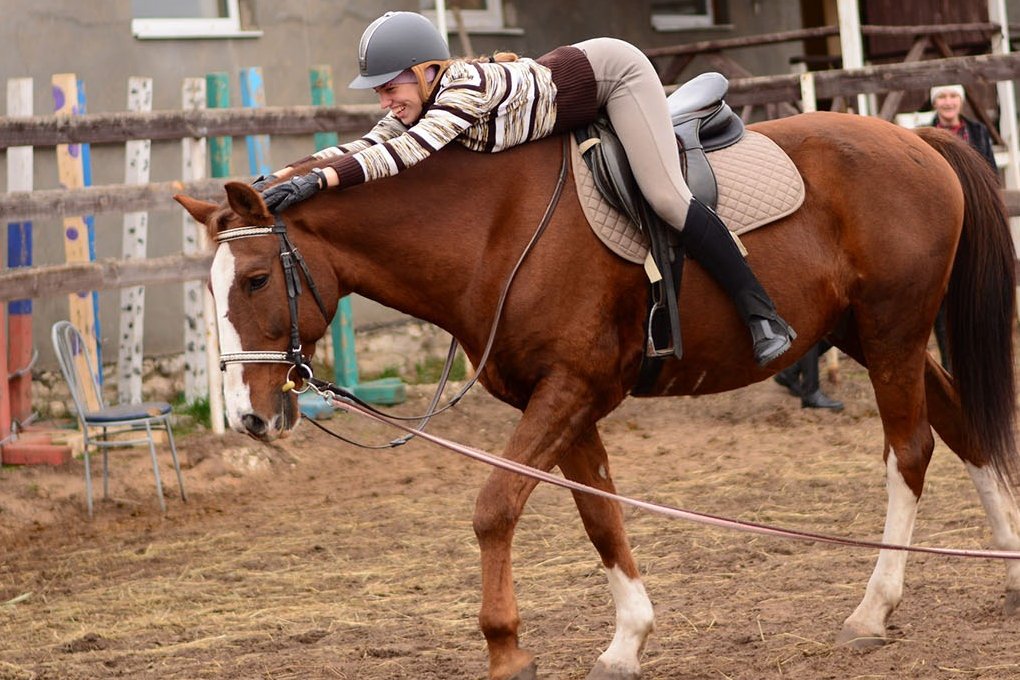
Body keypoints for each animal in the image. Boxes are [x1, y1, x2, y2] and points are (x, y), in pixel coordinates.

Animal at [177, 111, 1020, 680]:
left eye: (257, 279)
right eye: (211, 288)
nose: (249, 415)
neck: (491, 229)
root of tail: (917, 140)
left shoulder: (570, 389)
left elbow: (494, 508)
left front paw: (506, 648)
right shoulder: (564, 404)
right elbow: (598, 514)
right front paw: (626, 641)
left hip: (892, 334)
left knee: (910, 451)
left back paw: (873, 609)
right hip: (869, 337)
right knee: (966, 430)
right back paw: (1009, 568)